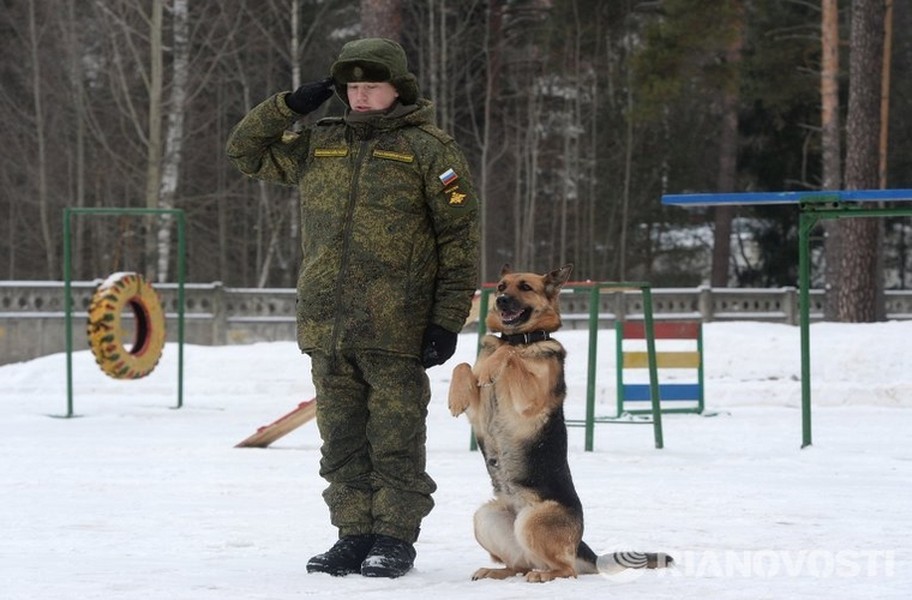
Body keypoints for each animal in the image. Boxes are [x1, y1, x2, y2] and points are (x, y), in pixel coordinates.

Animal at [448, 266, 668, 580]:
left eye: (525, 287)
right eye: (501, 286)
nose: (501, 300)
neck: (523, 337)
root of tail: (582, 548)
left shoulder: (529, 400)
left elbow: (510, 354)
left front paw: (497, 362)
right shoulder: (478, 413)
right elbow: (464, 365)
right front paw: (456, 396)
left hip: (534, 519)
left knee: (566, 569)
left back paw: (544, 575)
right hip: (486, 516)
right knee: (519, 564)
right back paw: (496, 572)